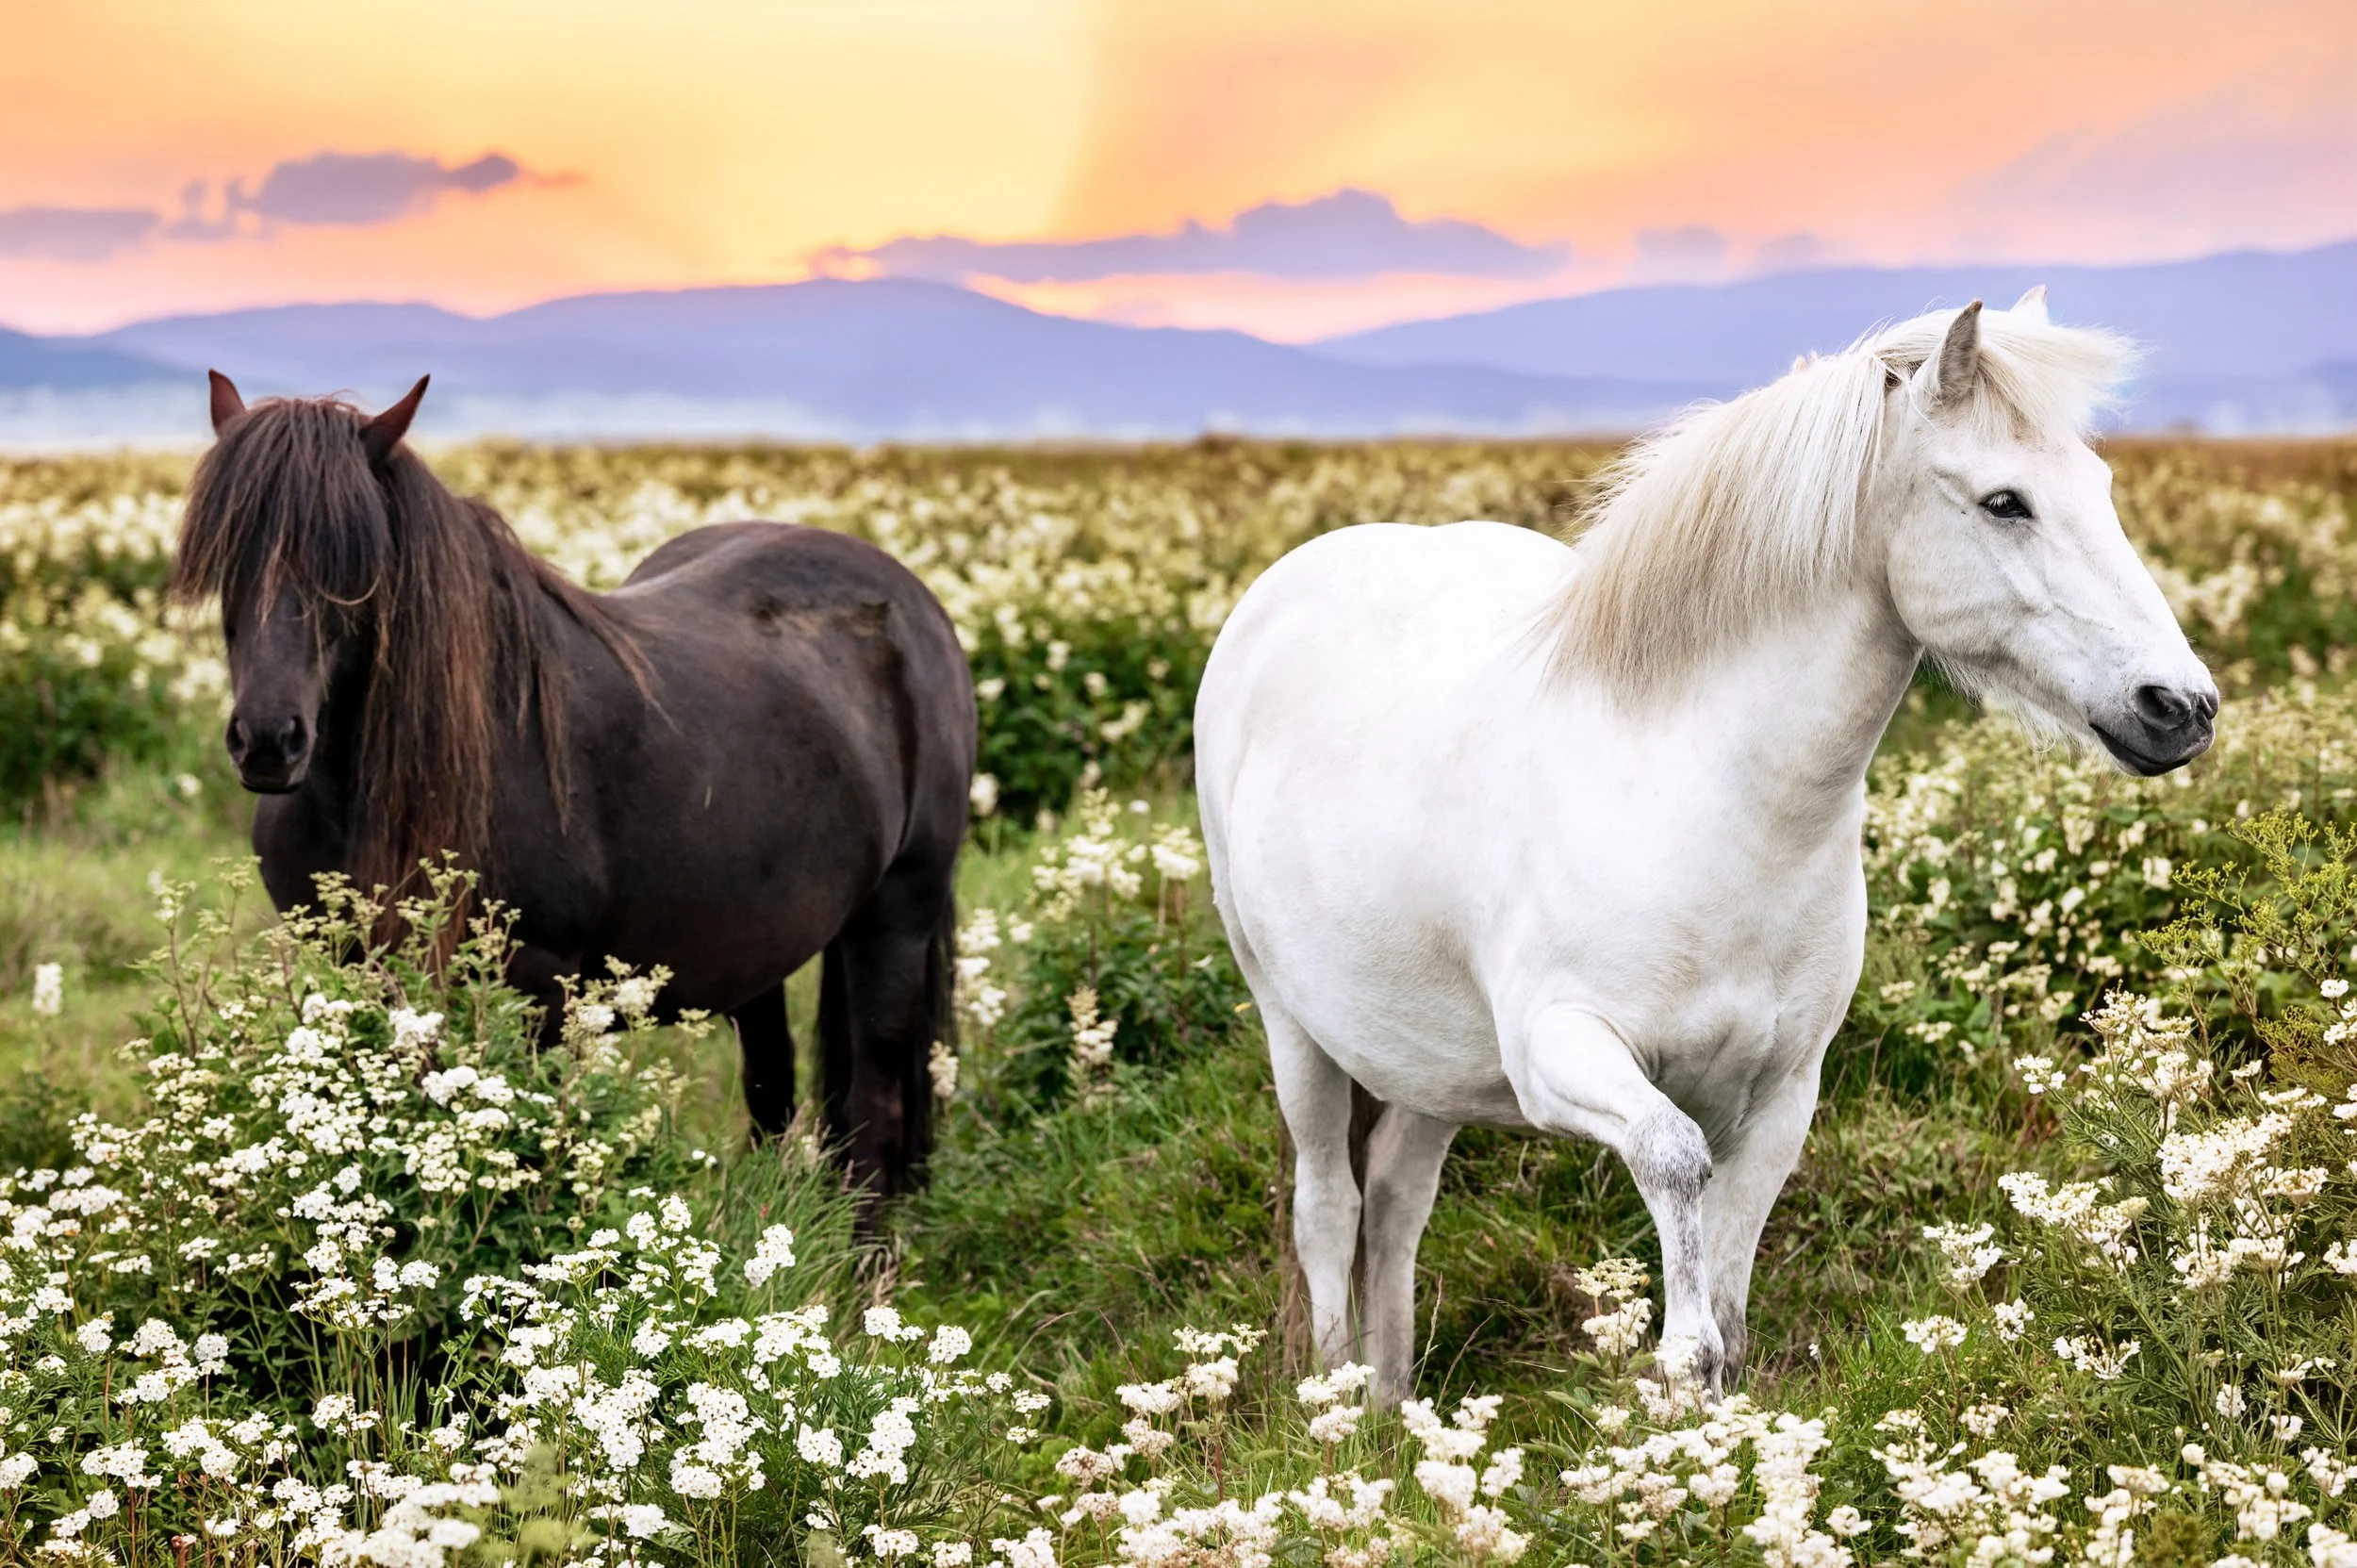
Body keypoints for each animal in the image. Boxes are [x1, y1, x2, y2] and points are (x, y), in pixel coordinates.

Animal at [172, 373, 976, 1206]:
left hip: (898, 913)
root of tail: (914, 600)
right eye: (229, 557)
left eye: (351, 566)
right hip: (764, 935)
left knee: (875, 1107)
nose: (269, 740)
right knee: (772, 1088)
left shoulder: (533, 986)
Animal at [1195, 292, 2217, 1402]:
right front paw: (1676, 1365)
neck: (1709, 811)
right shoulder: (1560, 1049)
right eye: (2004, 502)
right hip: (1292, 1023)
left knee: (1394, 1199)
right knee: (1328, 1207)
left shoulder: (1783, 1092)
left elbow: (1730, 1287)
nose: (2180, 707)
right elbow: (1672, 1158)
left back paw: (1391, 1407)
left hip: (1431, 1057)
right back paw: (1336, 1407)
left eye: (2101, 488)